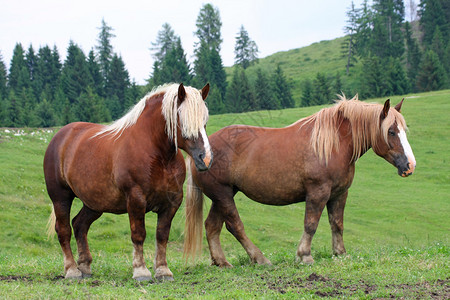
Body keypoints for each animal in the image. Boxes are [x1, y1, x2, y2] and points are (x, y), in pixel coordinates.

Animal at [45, 82, 213, 282]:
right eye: (183, 120)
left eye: (205, 121)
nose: (205, 159)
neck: (157, 154)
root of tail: (61, 136)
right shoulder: (136, 198)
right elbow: (138, 234)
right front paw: (141, 271)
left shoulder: (172, 202)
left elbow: (162, 235)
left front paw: (163, 270)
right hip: (60, 197)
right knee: (63, 230)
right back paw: (72, 270)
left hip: (94, 203)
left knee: (79, 225)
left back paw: (84, 267)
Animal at [185, 95, 416, 264]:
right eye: (391, 131)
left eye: (404, 130)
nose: (410, 166)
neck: (333, 144)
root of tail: (202, 153)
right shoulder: (318, 192)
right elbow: (311, 224)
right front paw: (304, 255)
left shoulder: (339, 194)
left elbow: (337, 223)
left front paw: (340, 253)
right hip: (223, 195)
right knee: (235, 226)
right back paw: (260, 259)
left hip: (222, 196)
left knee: (212, 226)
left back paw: (222, 262)